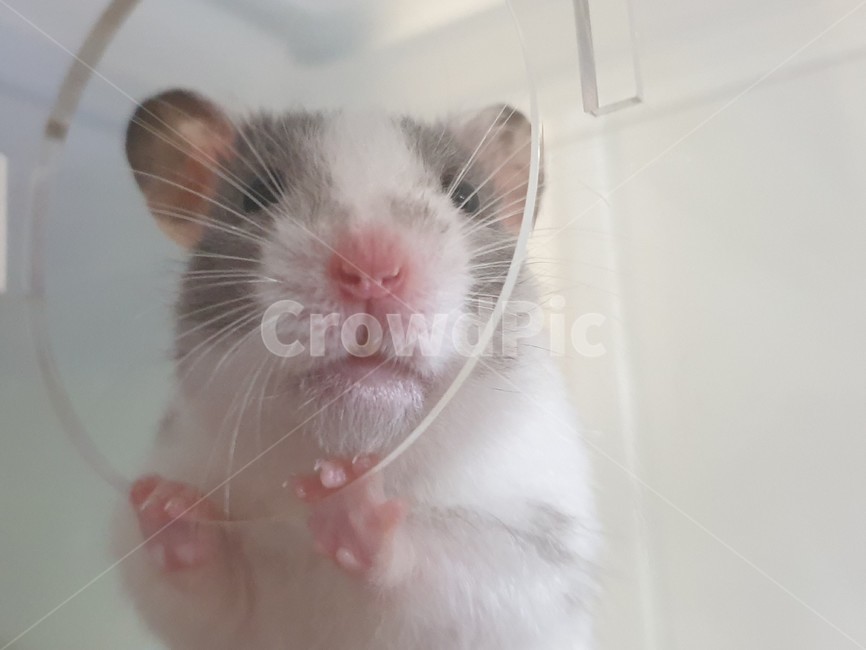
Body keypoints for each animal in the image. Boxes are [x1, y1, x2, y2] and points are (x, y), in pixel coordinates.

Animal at [113, 89, 599, 650]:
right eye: (256, 195)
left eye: (466, 197)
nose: (371, 270)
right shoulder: (213, 613)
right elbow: (205, 591)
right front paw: (166, 503)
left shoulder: (533, 553)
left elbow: (437, 564)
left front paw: (344, 496)